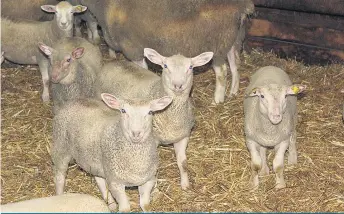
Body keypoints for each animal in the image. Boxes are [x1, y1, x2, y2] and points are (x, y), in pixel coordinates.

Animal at [69, 0, 255, 103]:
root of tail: (242, 6)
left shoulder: (134, 48)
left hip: (217, 43)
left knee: (222, 71)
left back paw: (218, 100)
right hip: (233, 39)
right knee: (235, 65)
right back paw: (233, 92)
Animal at [96, 48, 215, 189]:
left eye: (190, 67)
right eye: (165, 66)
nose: (178, 85)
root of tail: (113, 62)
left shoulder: (183, 136)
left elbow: (183, 163)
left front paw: (185, 184)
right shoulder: (154, 140)